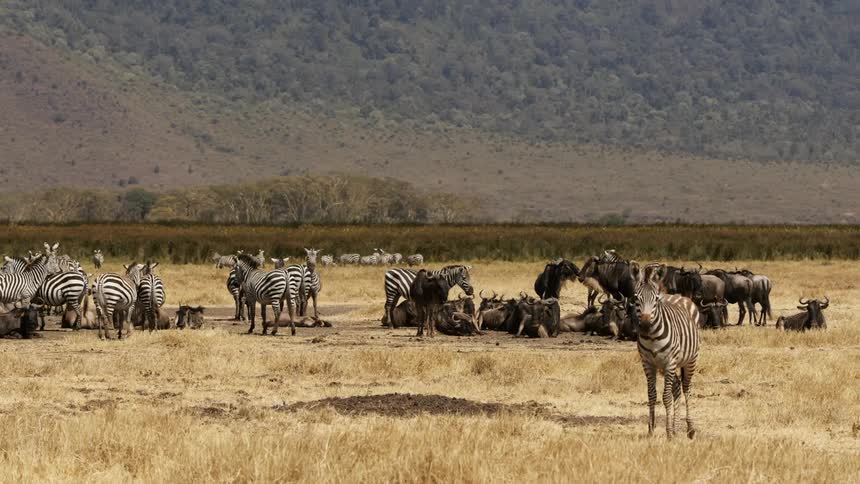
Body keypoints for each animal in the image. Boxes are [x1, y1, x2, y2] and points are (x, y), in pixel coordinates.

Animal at [634, 275, 701, 439]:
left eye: (656, 300)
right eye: (636, 298)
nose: (645, 325)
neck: (652, 337)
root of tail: (679, 296)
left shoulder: (670, 362)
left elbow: (666, 397)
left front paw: (668, 432)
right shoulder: (647, 363)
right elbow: (651, 395)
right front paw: (651, 430)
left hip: (690, 360)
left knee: (686, 388)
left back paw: (690, 429)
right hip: (666, 367)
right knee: (676, 388)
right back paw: (676, 428)